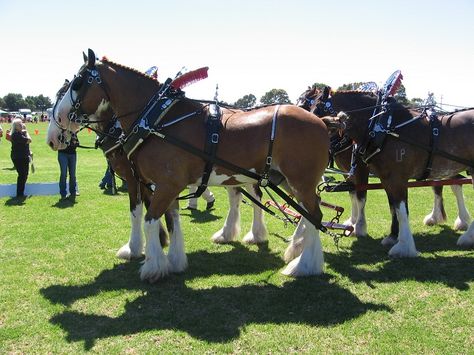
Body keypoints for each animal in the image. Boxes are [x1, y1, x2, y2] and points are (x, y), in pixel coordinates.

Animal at [47, 50, 330, 282]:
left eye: (77, 83)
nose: (54, 135)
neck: (157, 121)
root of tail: (321, 121)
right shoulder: (162, 185)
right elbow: (169, 218)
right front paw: (172, 260)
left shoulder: (161, 183)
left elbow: (148, 219)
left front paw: (152, 265)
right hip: (281, 179)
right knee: (304, 211)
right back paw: (293, 246)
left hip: (299, 180)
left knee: (314, 215)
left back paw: (304, 264)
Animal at [296, 87, 470, 242]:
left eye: (315, 107)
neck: (378, 127)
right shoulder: (350, 172)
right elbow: (354, 195)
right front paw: (352, 221)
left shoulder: (362, 170)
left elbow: (361, 196)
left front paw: (359, 227)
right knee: (444, 184)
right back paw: (437, 217)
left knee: (454, 183)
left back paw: (460, 220)